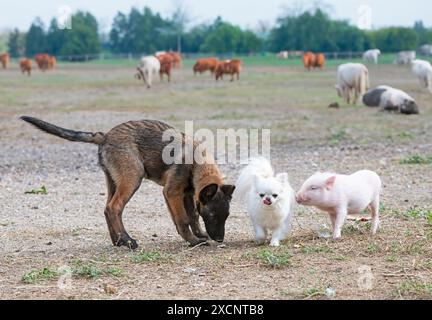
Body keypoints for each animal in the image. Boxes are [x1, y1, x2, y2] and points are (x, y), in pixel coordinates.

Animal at [21, 116, 236, 249]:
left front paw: (199, 235)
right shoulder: (172, 192)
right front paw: (192, 241)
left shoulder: (188, 194)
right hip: (132, 178)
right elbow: (183, 219)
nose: (220, 238)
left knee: (107, 208)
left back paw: (118, 241)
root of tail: (105, 136)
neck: (197, 162)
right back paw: (128, 241)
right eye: (212, 215)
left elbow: (192, 216)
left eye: (226, 216)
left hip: (114, 181)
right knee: (114, 207)